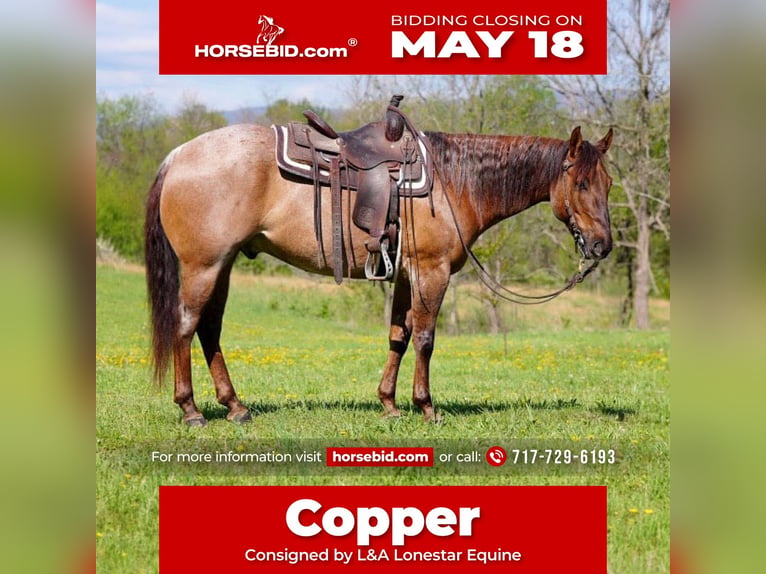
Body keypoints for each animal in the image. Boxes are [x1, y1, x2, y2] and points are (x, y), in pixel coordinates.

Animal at [144, 121, 614, 426]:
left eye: (608, 184)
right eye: (582, 184)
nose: (602, 246)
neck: (453, 182)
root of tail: (177, 156)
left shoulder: (405, 275)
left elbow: (398, 337)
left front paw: (389, 404)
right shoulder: (431, 271)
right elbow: (425, 339)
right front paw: (426, 406)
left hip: (222, 266)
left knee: (210, 329)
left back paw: (236, 407)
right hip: (204, 267)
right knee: (186, 326)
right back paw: (191, 410)